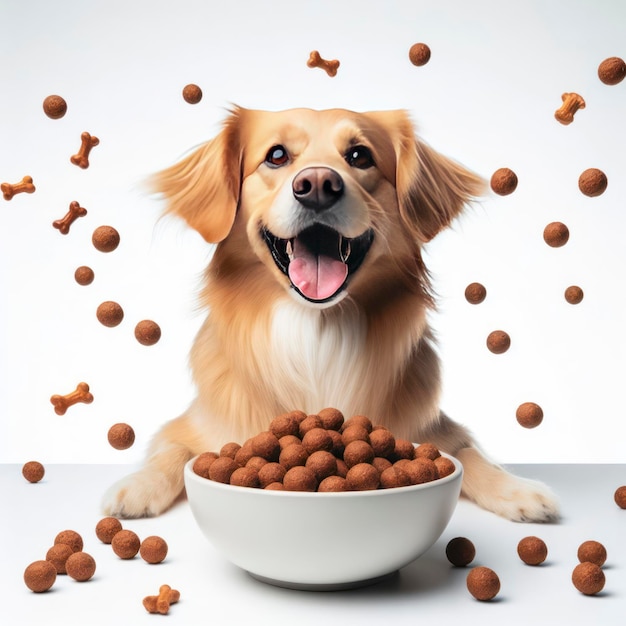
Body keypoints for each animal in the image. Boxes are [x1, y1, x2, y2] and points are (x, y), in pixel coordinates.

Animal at [102, 105, 556, 520]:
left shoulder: (437, 428)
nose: (318, 184)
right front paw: (136, 486)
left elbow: (472, 453)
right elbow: (174, 450)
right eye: (277, 155)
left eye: (360, 156)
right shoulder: (191, 425)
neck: (316, 331)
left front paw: (518, 490)